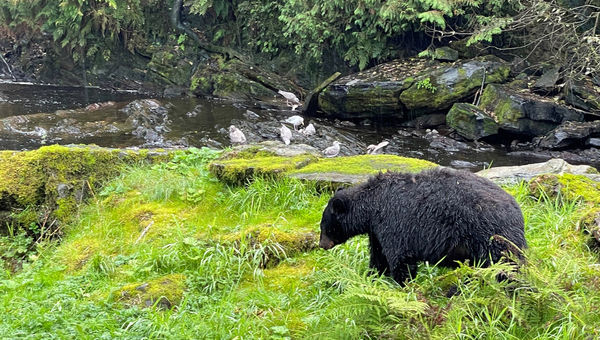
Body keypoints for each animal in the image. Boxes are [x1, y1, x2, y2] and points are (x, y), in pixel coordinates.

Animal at [318, 168, 524, 284]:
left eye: (324, 226)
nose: (321, 245)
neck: (372, 205)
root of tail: (517, 211)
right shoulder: (376, 230)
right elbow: (378, 255)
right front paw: (372, 276)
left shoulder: (393, 221)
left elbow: (400, 257)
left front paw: (403, 285)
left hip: (490, 237)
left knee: (505, 267)